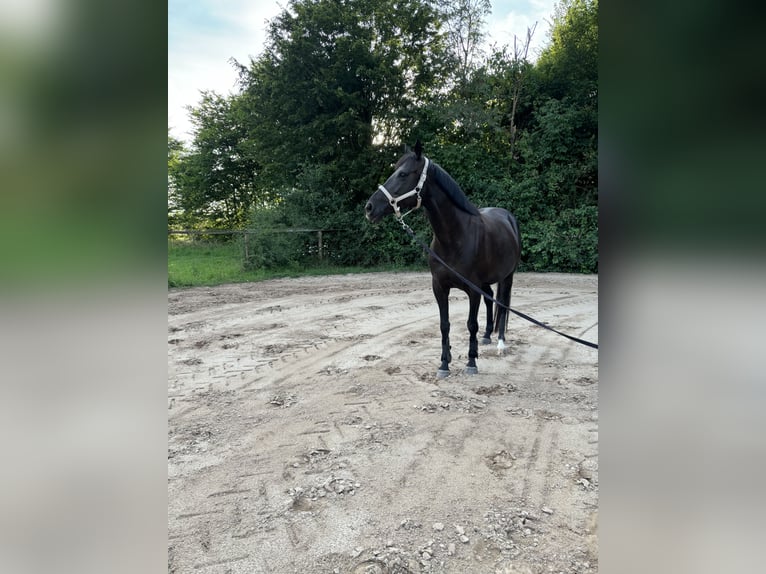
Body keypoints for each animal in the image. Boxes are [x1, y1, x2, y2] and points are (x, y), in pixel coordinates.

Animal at [366, 143, 520, 378]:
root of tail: (508, 217)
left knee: (502, 306)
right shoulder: (439, 287)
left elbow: (471, 324)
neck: (455, 237)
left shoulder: (473, 290)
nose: (370, 208)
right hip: (487, 282)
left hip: (507, 277)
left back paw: (501, 344)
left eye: (403, 174)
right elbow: (444, 324)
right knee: (491, 299)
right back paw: (487, 337)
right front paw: (444, 364)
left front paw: (471, 362)